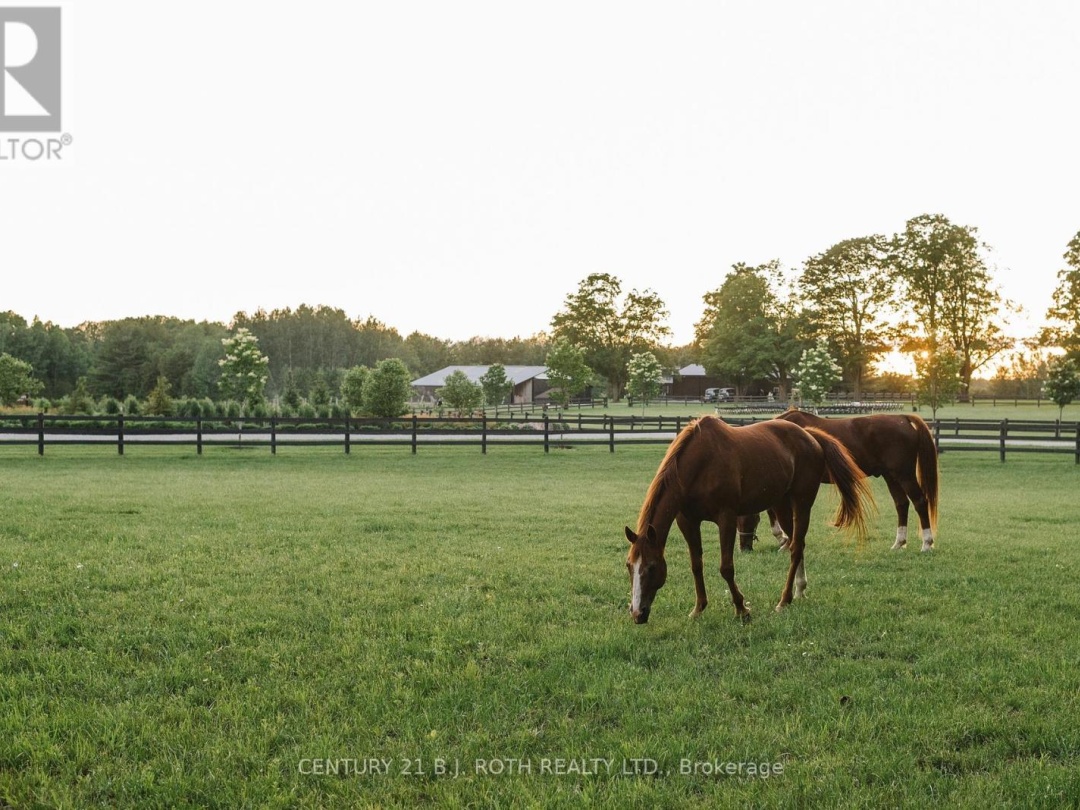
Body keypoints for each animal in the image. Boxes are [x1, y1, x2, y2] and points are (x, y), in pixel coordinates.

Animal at [626, 414, 868, 626]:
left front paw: (742, 609)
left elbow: (726, 567)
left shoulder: (726, 518)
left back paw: (784, 600)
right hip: (781, 505)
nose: (637, 614)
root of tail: (810, 436)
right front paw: (698, 608)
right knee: (797, 545)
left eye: (651, 567)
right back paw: (799, 590)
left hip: (802, 503)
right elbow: (696, 565)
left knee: (796, 548)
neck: (699, 464)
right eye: (629, 566)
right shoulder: (687, 521)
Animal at [751, 412, 937, 552]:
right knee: (901, 504)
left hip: (904, 475)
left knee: (920, 502)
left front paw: (783, 540)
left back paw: (927, 543)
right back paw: (899, 543)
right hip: (891, 476)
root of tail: (902, 417)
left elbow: (775, 511)